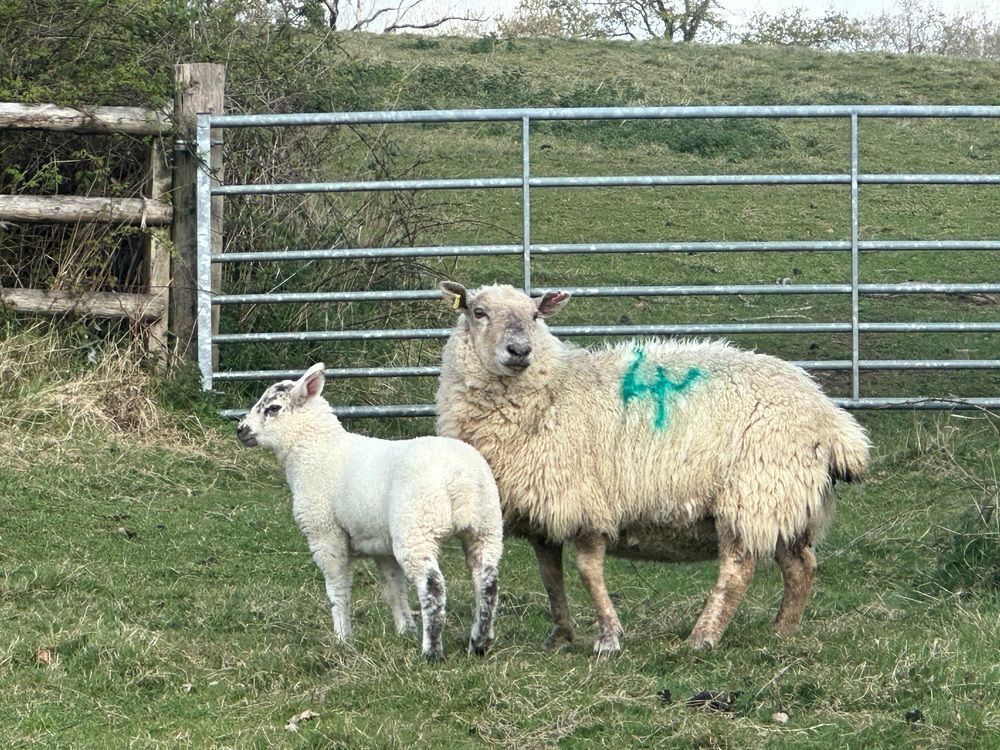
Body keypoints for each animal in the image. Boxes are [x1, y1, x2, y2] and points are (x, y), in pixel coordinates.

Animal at [237, 362, 503, 661]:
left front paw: (343, 637)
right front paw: (405, 630)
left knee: (433, 587)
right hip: (486, 526)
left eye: (273, 408)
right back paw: (479, 642)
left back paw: (431, 651)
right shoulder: (381, 545)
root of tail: (460, 478)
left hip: (416, 528)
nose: (241, 430)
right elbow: (393, 589)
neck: (315, 450)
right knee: (487, 581)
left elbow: (338, 590)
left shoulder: (325, 535)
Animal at [435, 281, 870, 654]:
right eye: (478, 312)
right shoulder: (544, 509)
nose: (520, 350)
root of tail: (832, 419)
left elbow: (587, 571)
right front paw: (559, 638)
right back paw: (781, 633)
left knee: (737, 570)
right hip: (786, 500)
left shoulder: (588, 503)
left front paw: (609, 638)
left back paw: (703, 637)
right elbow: (550, 577)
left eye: (534, 315)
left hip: (753, 490)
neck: (550, 390)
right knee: (801, 567)